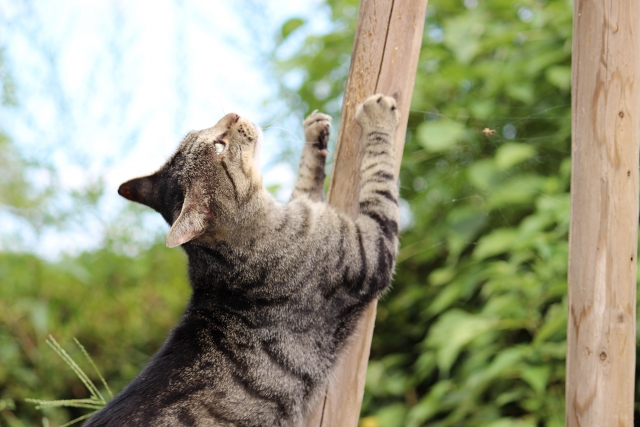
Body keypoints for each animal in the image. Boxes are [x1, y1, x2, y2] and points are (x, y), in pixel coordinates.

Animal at [85, 94, 400, 427]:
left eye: (204, 132)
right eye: (218, 146)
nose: (233, 114)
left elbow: (305, 185)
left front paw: (315, 134)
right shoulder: (371, 249)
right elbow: (380, 177)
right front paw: (378, 115)